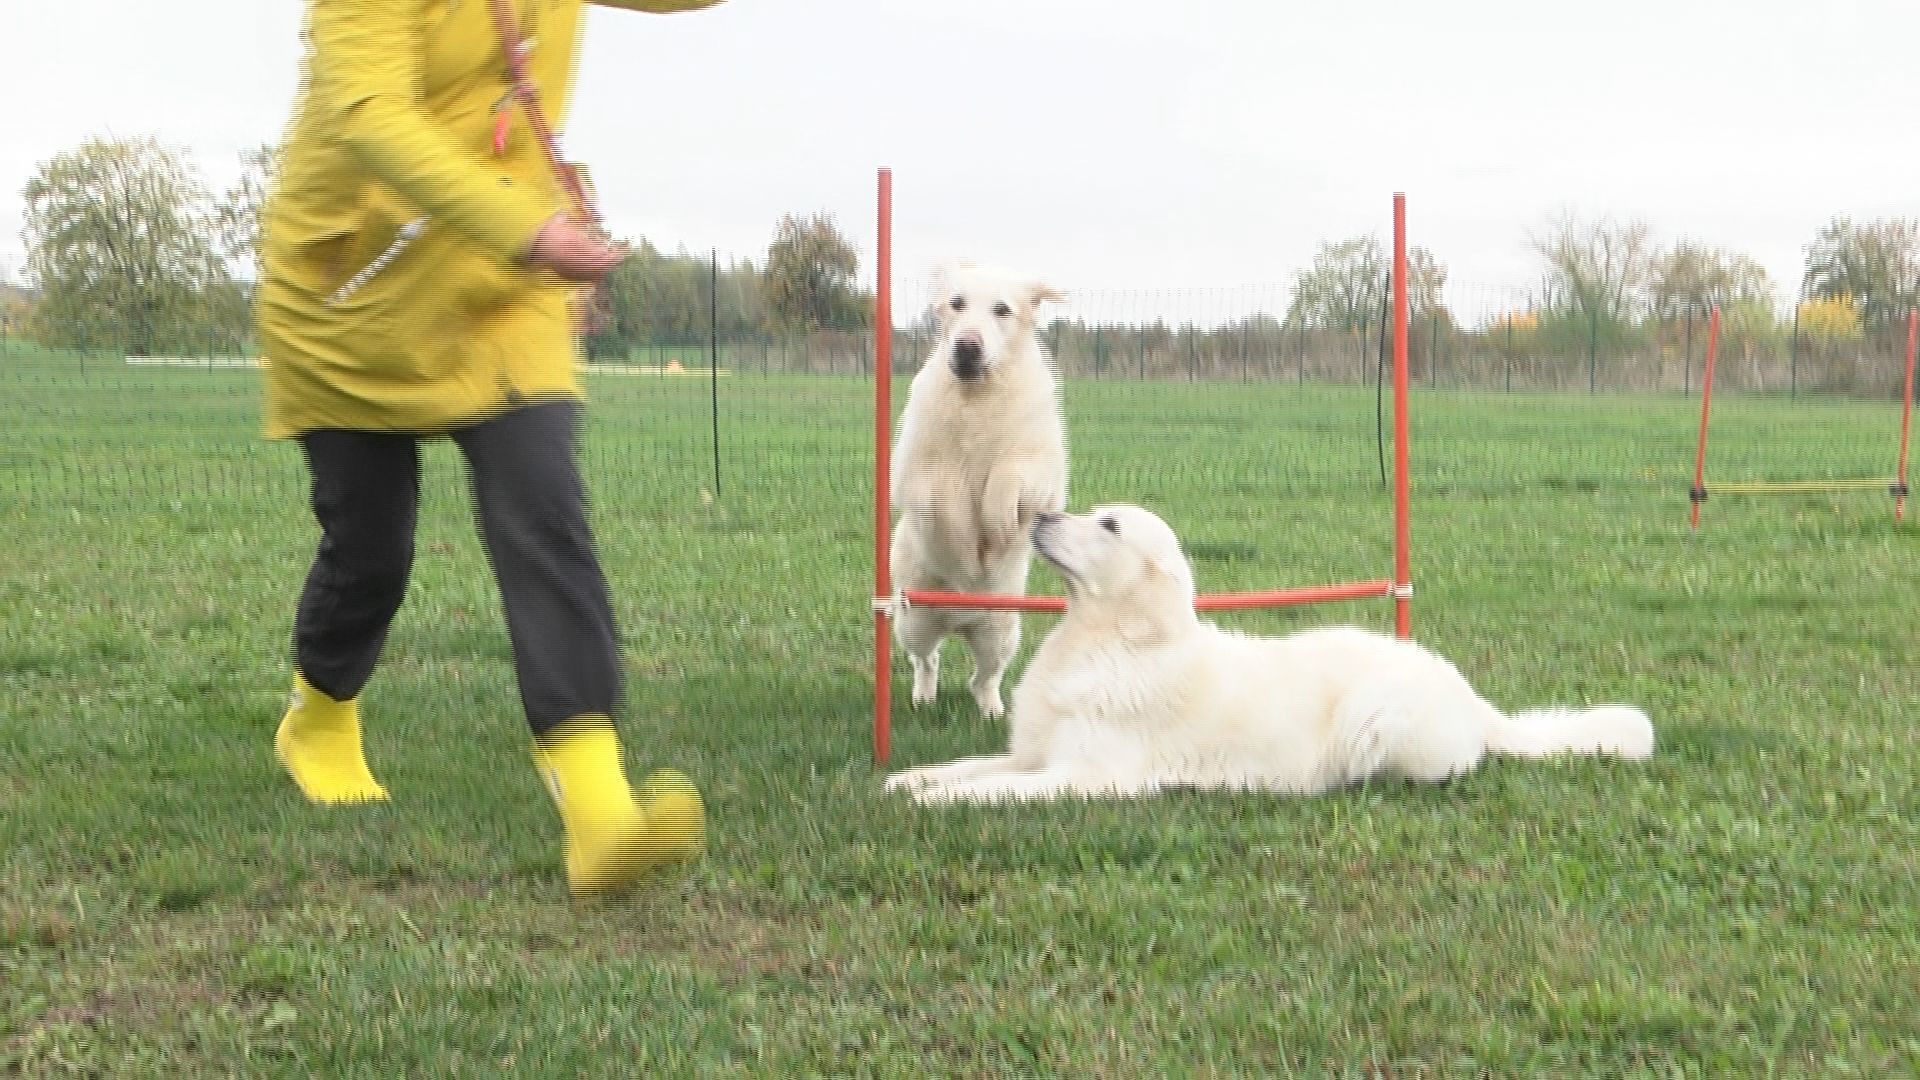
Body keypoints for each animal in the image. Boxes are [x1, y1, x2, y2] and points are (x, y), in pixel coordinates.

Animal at [885, 504, 1654, 802]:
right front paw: (907, 781)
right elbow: (964, 766)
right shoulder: (1033, 753)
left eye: (1109, 525)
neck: (1112, 640)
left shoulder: (1086, 776)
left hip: (1376, 722)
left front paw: (933, 801)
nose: (1040, 514)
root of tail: (1474, 701)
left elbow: (984, 790)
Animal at [888, 261, 1069, 718]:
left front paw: (998, 523)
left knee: (983, 679)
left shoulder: (1037, 471)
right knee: (927, 661)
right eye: (957, 304)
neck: (977, 398)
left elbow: (1006, 478)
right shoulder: (921, 472)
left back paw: (992, 711)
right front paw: (966, 546)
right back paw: (923, 698)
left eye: (1001, 309)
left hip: (1001, 633)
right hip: (913, 621)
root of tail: (959, 622)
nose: (967, 347)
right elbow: (946, 495)